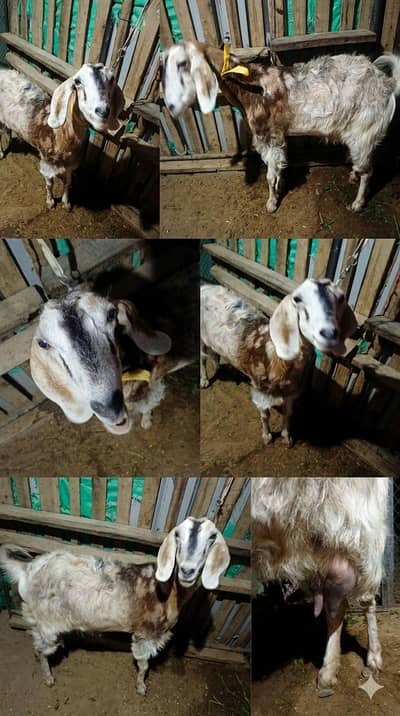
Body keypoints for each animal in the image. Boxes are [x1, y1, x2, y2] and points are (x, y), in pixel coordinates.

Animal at [0, 63, 124, 208]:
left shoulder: (71, 164)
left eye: (112, 79)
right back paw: (1, 154)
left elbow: (68, 182)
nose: (102, 112)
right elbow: (50, 184)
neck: (60, 134)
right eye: (77, 82)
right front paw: (50, 202)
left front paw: (66, 203)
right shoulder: (47, 162)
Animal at [0, 517, 230, 695]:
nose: (187, 570)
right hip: (45, 622)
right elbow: (143, 664)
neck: (170, 590)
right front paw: (141, 688)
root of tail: (27, 570)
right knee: (41, 649)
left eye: (212, 537)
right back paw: (48, 678)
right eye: (177, 535)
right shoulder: (146, 633)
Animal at [162, 41, 400, 212]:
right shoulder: (277, 136)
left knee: (369, 170)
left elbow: (270, 174)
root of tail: (387, 83)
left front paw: (271, 204)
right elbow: (279, 166)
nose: (169, 104)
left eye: (183, 64)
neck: (249, 87)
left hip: (365, 130)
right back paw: (353, 175)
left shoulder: (269, 136)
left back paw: (357, 204)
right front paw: (280, 188)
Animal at [200, 279, 357, 446]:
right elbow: (265, 415)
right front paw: (267, 436)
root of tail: (205, 286)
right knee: (202, 358)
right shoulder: (260, 389)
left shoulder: (292, 391)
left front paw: (287, 437)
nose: (329, 334)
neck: (276, 356)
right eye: (297, 299)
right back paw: (204, 380)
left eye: (341, 298)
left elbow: (288, 413)